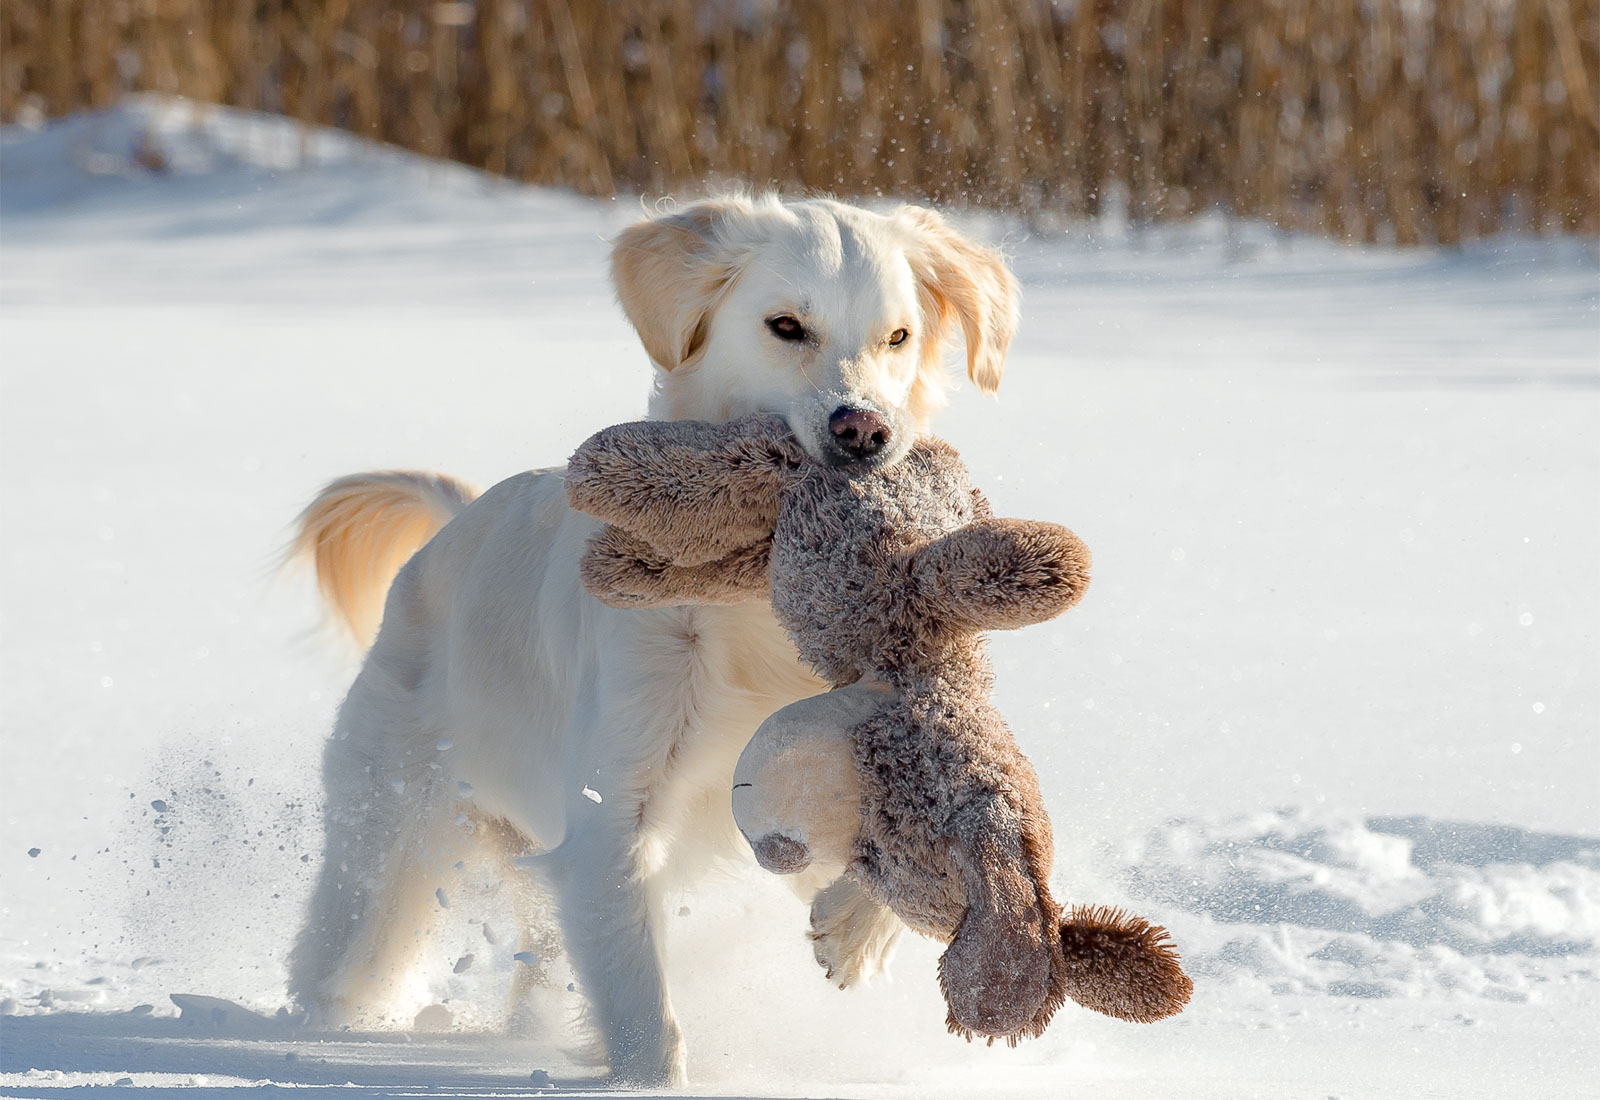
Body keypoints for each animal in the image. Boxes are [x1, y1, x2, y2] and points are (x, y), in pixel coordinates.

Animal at [284, 195, 1011, 1080]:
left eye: (898, 336)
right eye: (785, 325)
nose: (863, 430)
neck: (752, 604)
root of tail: (451, 529)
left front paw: (851, 933)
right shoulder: (613, 814)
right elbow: (643, 1005)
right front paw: (649, 1081)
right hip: (388, 842)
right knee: (345, 951)